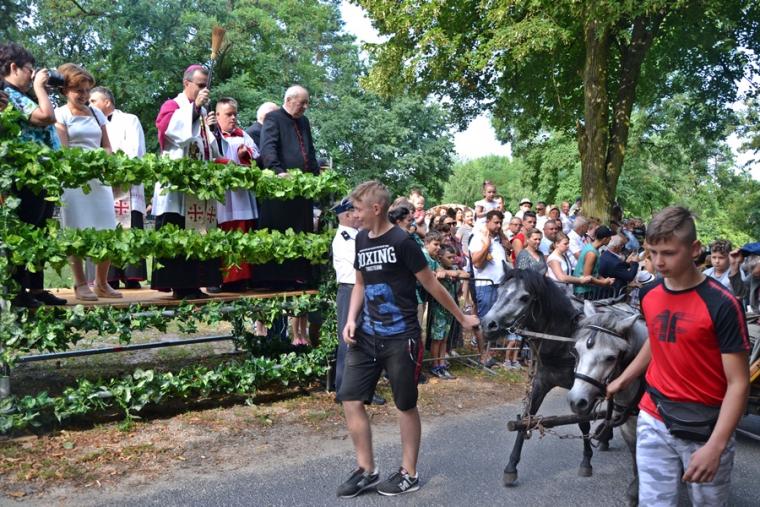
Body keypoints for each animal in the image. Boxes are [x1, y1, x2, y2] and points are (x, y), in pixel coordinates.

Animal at [479, 268, 640, 486]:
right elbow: (527, 417)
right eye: (499, 290)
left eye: (524, 297)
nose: (488, 325)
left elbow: (582, 421)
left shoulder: (581, 388)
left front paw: (586, 461)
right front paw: (511, 466)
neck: (563, 337)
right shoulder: (540, 382)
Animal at [567, 301, 648, 506]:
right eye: (576, 350)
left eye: (611, 358)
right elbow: (636, 458)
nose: (576, 401)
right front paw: (635, 492)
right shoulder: (628, 427)